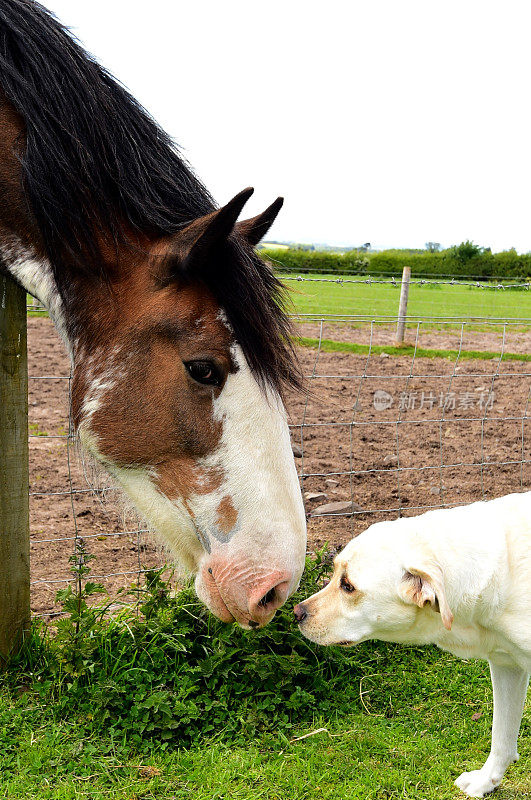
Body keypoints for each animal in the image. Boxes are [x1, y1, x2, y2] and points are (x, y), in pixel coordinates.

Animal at [296, 490, 531, 796]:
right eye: (335, 574)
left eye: (348, 586)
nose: (296, 613)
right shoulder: (507, 664)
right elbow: (501, 735)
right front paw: (485, 781)